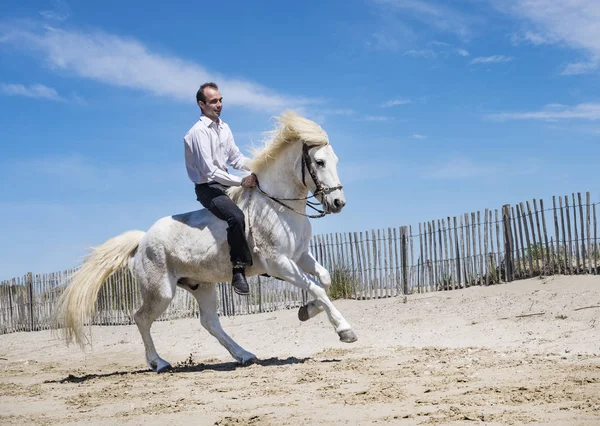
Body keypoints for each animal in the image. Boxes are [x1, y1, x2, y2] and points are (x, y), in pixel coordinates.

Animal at [54, 110, 356, 372]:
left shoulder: (300, 256)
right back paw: (159, 363)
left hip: (203, 286)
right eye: (319, 162)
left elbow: (324, 279)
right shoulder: (279, 262)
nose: (338, 203)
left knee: (209, 322)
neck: (278, 205)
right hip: (161, 292)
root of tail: (143, 239)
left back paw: (245, 355)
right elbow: (317, 287)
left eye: (336, 160)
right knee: (141, 318)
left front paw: (307, 310)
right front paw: (345, 331)